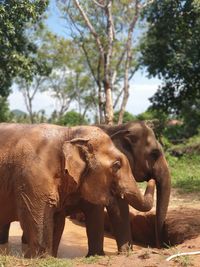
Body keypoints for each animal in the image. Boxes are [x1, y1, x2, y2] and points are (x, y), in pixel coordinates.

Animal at [0, 123, 155, 258]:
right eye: (116, 165)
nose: (151, 179)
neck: (69, 133)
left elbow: (57, 219)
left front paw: (51, 257)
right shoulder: (33, 176)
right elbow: (36, 214)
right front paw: (40, 259)